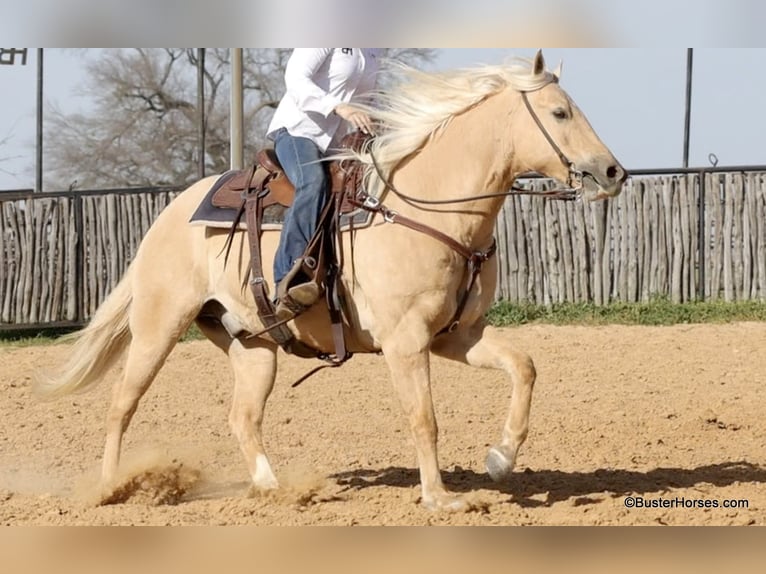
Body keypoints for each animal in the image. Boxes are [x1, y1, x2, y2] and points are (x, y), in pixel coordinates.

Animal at [37, 51, 626, 511]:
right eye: (559, 111)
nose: (612, 172)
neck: (429, 209)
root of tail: (168, 213)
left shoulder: (456, 334)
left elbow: (524, 367)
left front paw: (500, 460)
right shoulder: (405, 342)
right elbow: (424, 418)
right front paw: (441, 498)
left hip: (252, 344)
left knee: (242, 417)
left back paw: (277, 490)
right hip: (158, 326)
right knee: (122, 405)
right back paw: (110, 489)